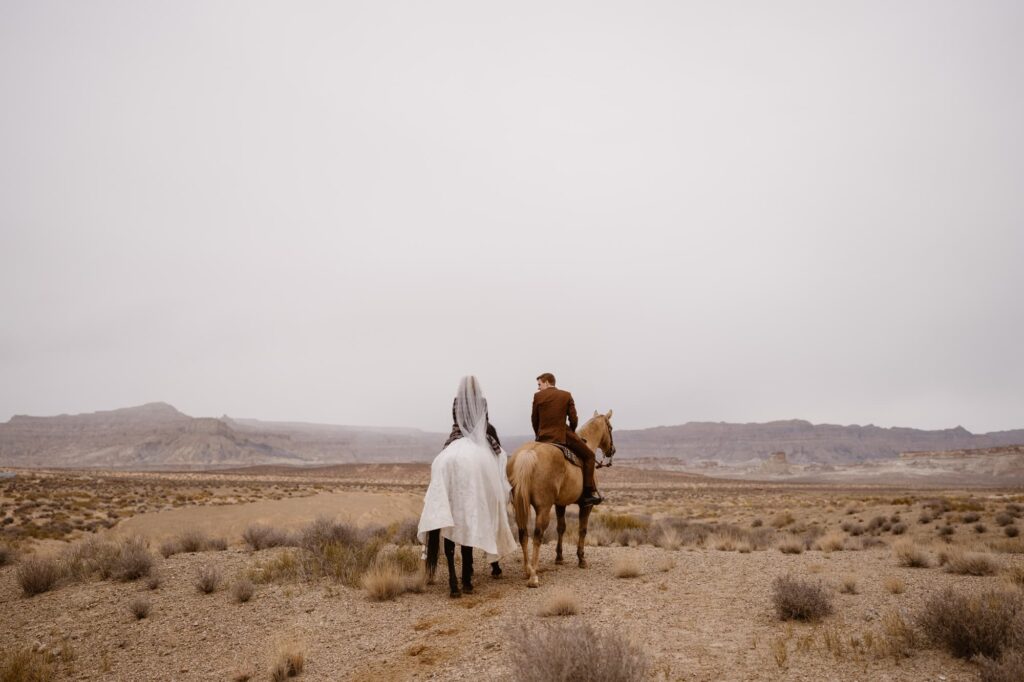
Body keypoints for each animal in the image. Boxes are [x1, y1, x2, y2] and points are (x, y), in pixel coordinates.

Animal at [505, 409, 610, 585]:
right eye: (611, 428)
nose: (612, 450)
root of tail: (528, 453)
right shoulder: (586, 505)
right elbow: (582, 530)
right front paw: (581, 559)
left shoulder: (561, 504)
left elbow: (561, 528)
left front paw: (559, 557)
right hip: (543, 508)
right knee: (538, 535)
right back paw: (533, 575)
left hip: (520, 505)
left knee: (523, 533)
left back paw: (527, 570)